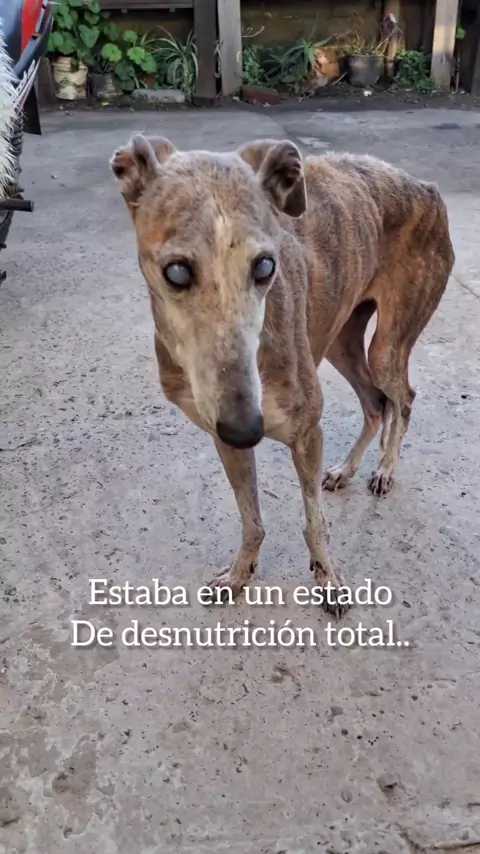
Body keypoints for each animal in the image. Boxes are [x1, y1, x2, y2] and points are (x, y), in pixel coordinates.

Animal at [110, 135, 455, 615]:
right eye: (176, 271)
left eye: (265, 266)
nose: (247, 427)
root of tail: (426, 187)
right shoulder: (224, 437)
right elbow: (251, 518)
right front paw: (239, 574)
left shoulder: (305, 431)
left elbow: (314, 522)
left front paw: (329, 581)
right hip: (341, 341)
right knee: (375, 403)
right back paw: (346, 470)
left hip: (387, 345)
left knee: (401, 399)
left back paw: (385, 470)